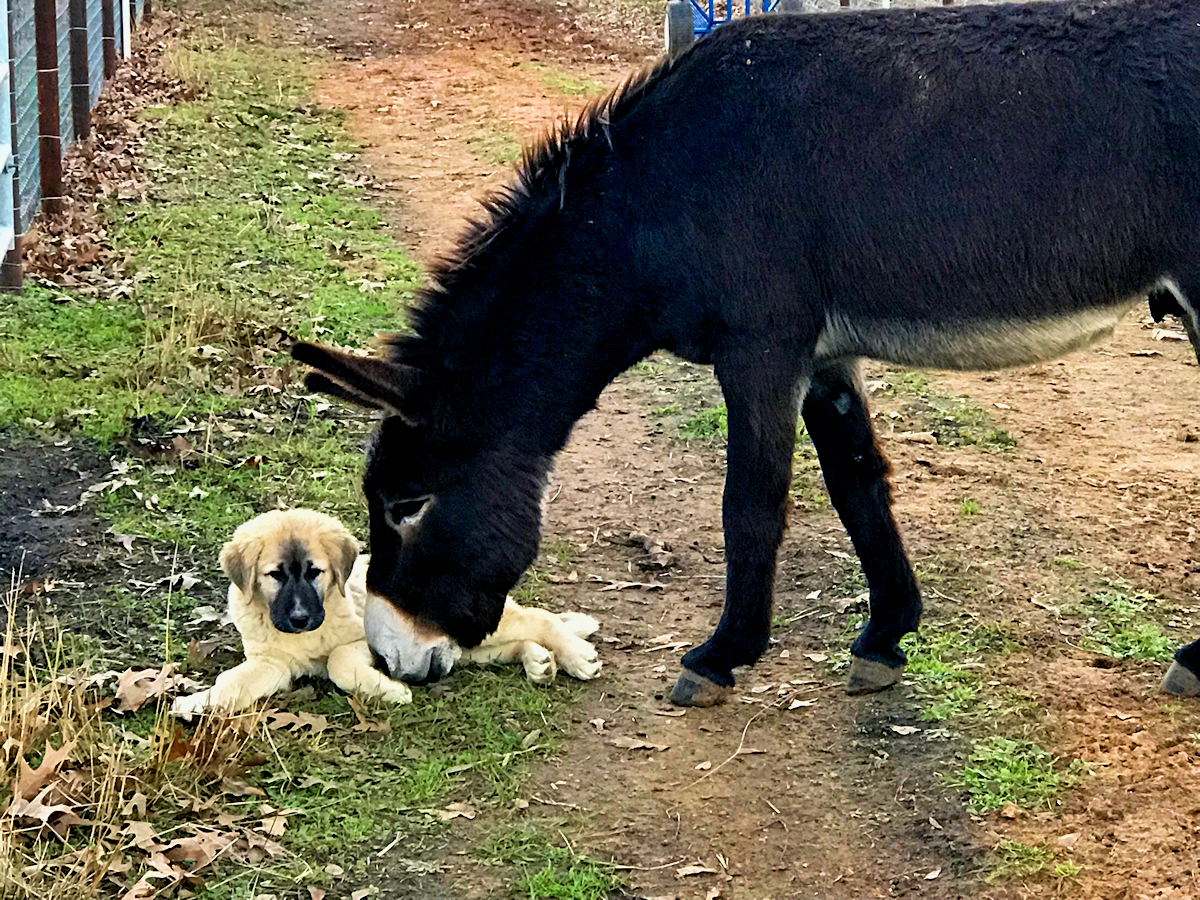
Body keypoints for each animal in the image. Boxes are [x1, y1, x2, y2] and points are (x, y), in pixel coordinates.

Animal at [171, 513, 600, 720]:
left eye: (315, 572)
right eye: (275, 575)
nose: (299, 618)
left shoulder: (365, 643)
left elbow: (339, 663)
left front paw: (389, 691)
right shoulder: (270, 664)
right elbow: (230, 683)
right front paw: (197, 702)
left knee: (541, 619)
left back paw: (576, 656)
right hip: (457, 651)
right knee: (514, 642)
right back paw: (539, 661)